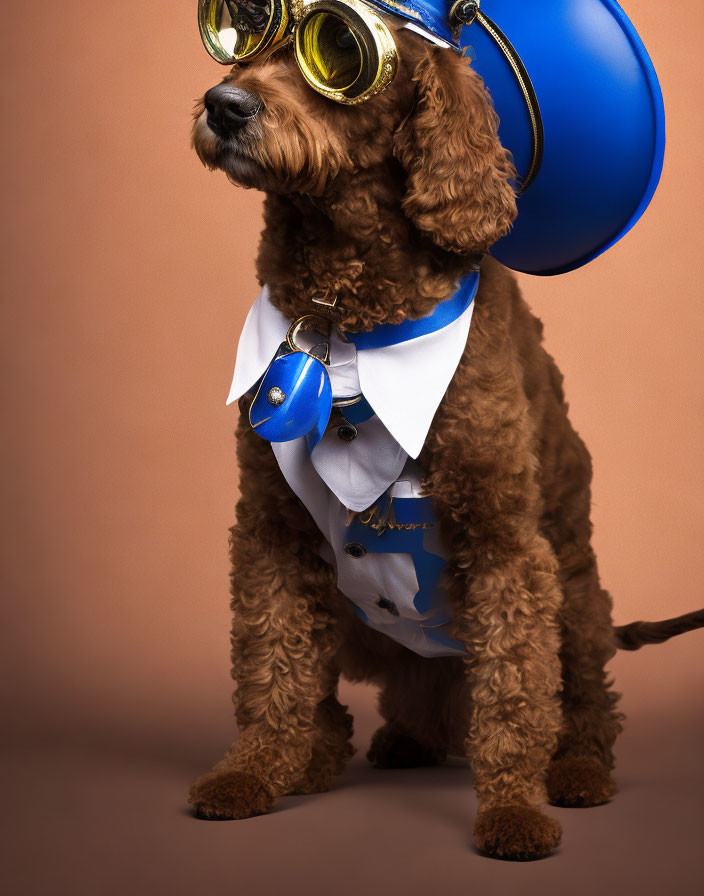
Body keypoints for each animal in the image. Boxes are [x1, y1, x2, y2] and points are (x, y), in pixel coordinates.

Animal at [187, 22, 704, 860]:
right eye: (251, 33)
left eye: (338, 49)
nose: (224, 104)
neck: (343, 315)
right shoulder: (271, 529)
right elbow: (271, 664)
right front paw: (253, 770)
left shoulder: (503, 540)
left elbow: (517, 691)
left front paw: (513, 810)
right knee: (353, 699)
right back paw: (347, 751)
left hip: (578, 599)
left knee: (583, 699)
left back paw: (577, 770)